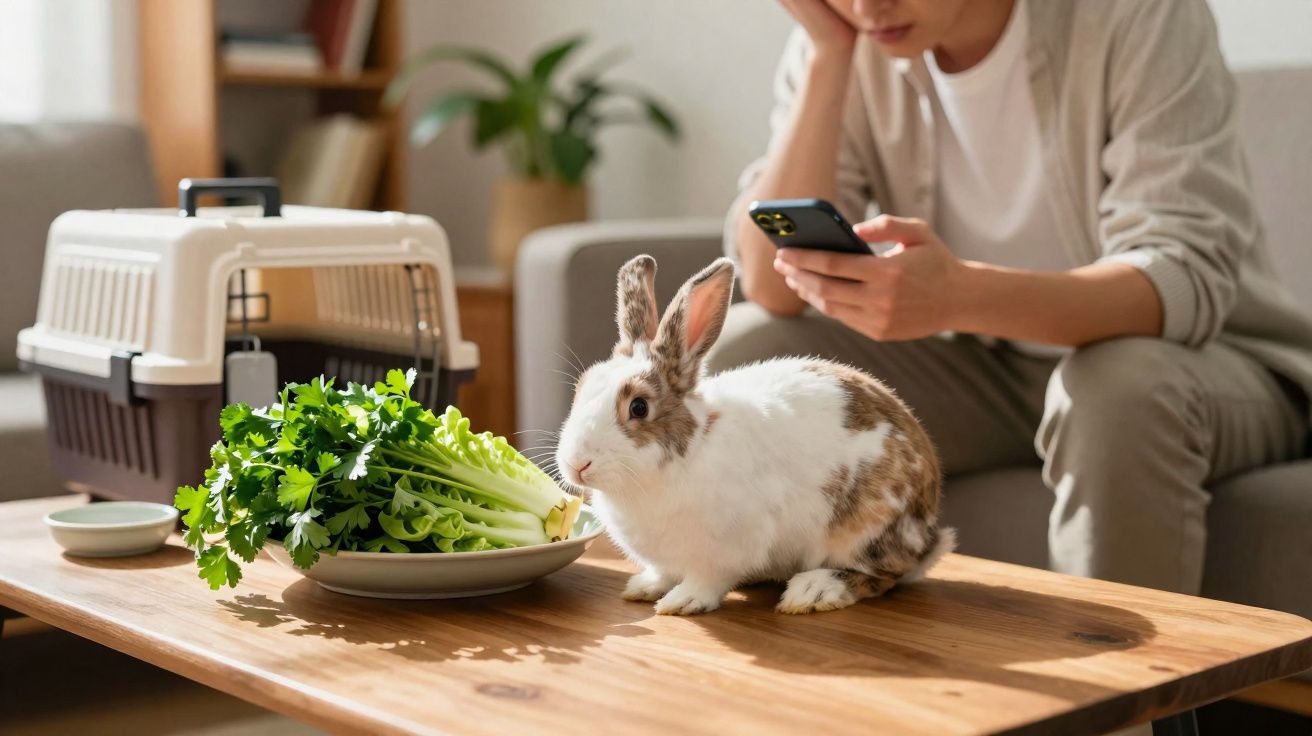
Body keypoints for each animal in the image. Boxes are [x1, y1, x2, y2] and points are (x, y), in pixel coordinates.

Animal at [555, 254, 955, 615]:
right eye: (581, 388)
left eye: (638, 407)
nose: (577, 464)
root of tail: (928, 530)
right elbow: (663, 572)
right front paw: (644, 587)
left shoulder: (728, 549)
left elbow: (707, 579)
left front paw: (682, 602)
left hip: (865, 529)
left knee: (881, 575)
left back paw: (812, 591)